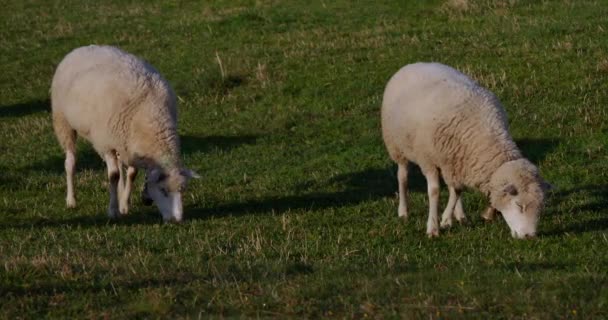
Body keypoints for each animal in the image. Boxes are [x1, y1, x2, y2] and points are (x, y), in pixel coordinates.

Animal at [50, 43, 197, 221]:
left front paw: (124, 205)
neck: (151, 116)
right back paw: (71, 200)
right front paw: (113, 211)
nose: (177, 220)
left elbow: (132, 173)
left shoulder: (131, 145)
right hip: (63, 122)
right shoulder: (106, 144)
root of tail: (84, 47)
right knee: (70, 162)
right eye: (163, 190)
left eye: (182, 190)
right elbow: (113, 176)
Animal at [382, 62, 552, 238]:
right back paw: (403, 211)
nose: (529, 236)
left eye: (540, 208)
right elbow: (435, 192)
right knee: (402, 177)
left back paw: (460, 215)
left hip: (452, 162)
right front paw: (433, 227)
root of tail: (414, 64)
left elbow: (457, 190)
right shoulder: (428, 159)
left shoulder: (459, 158)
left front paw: (446, 219)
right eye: (519, 205)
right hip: (397, 147)